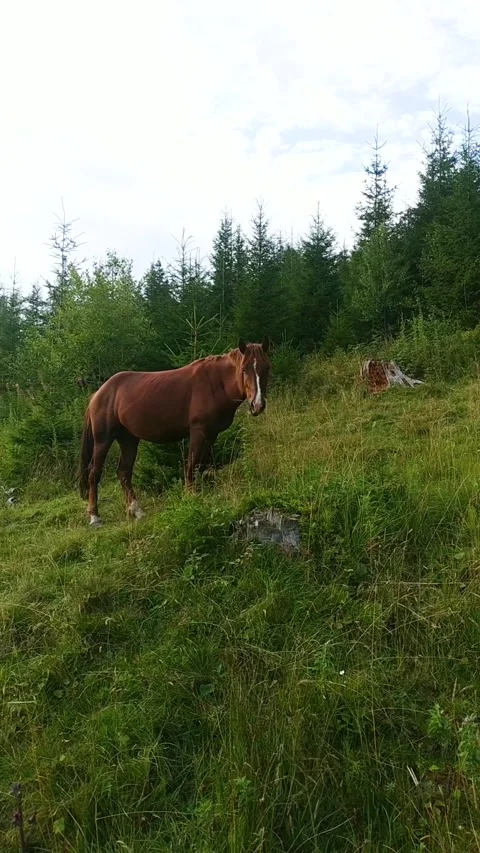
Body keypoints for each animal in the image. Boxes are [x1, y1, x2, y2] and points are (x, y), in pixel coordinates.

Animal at [78, 337, 271, 527]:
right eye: (244, 369)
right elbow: (192, 466)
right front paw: (191, 498)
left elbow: (202, 466)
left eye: (266, 367)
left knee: (124, 473)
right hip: (103, 440)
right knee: (94, 473)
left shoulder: (211, 435)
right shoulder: (198, 431)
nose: (257, 405)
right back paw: (95, 517)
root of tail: (98, 393)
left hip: (128, 439)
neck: (216, 383)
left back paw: (137, 511)